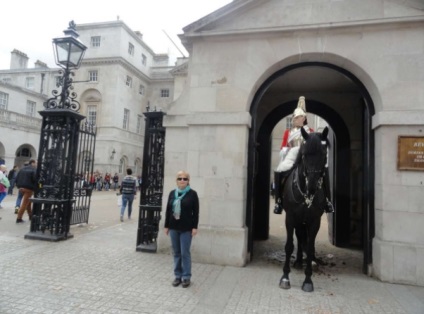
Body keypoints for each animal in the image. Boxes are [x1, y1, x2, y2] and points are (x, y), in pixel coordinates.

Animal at [280, 126, 330, 294]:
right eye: (304, 154)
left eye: (323, 154)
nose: (312, 186)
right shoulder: (290, 218)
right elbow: (289, 246)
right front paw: (285, 277)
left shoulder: (314, 221)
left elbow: (309, 245)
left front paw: (308, 280)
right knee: (299, 237)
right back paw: (297, 262)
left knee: (304, 239)